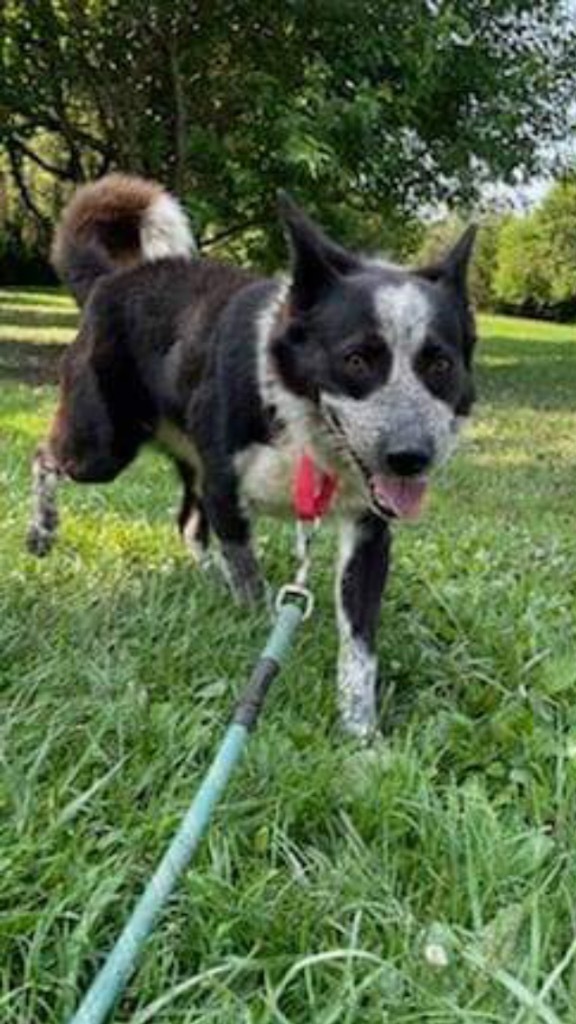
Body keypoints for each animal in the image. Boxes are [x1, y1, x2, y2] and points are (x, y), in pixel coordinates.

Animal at [28, 174, 475, 737]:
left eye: (439, 364)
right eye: (355, 359)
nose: (411, 456)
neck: (300, 420)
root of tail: (110, 281)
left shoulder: (368, 526)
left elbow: (359, 645)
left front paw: (362, 735)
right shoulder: (226, 490)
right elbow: (250, 580)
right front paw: (257, 640)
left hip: (184, 458)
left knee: (187, 523)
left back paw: (204, 578)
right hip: (103, 445)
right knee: (45, 455)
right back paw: (41, 531)